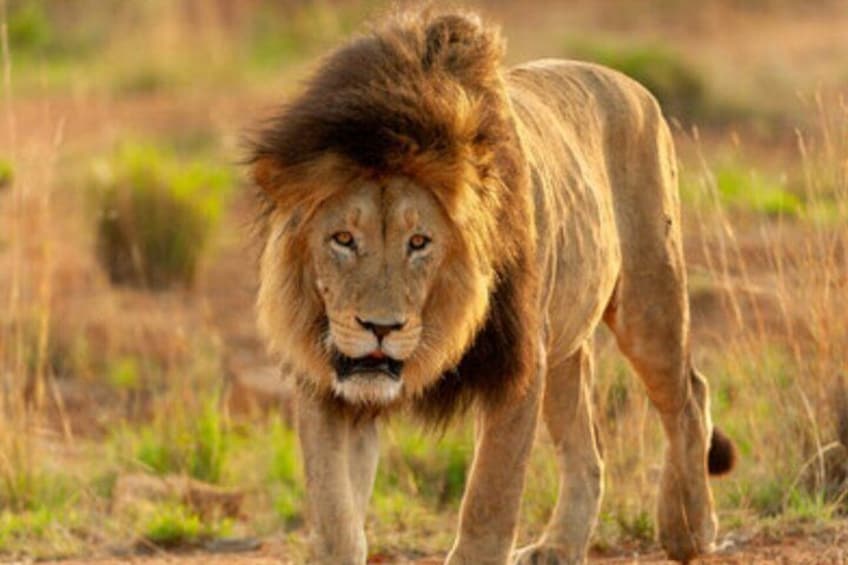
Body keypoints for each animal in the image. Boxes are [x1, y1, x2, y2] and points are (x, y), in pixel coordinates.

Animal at [249, 9, 735, 565]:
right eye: (343, 239)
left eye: (420, 242)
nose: (379, 328)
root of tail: (633, 85)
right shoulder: (328, 384)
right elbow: (334, 515)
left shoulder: (518, 365)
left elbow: (489, 499)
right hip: (565, 346)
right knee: (587, 449)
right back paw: (558, 546)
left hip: (648, 300)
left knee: (688, 396)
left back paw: (688, 528)